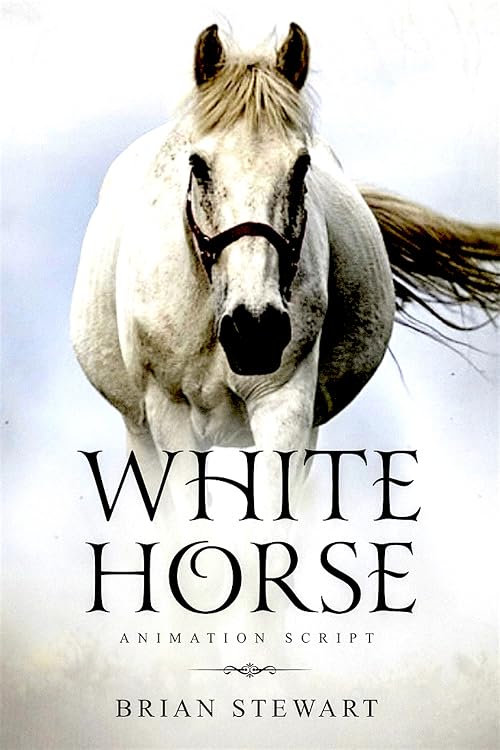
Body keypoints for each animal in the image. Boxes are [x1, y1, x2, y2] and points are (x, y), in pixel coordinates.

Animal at [71, 23, 500, 498]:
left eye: (301, 166)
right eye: (198, 165)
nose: (254, 329)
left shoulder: (285, 405)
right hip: (140, 429)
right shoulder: (169, 413)